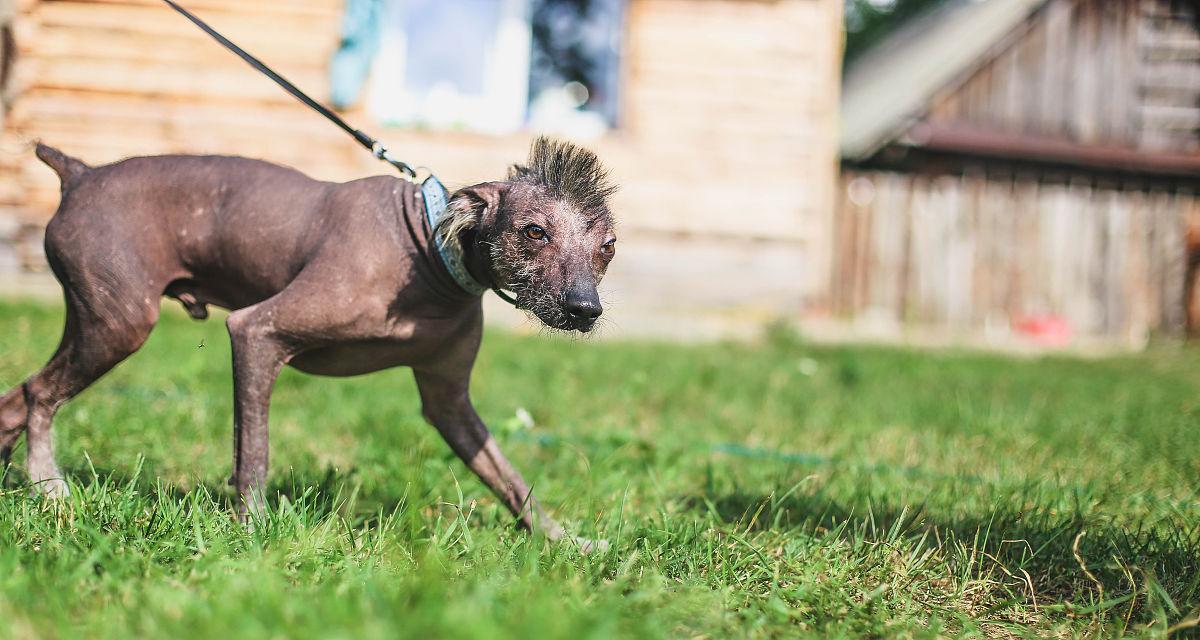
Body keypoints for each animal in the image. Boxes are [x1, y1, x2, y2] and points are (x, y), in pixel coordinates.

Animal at [0, 137, 619, 547]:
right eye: (534, 232)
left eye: (607, 246)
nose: (584, 309)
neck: (427, 254)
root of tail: (82, 174)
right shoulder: (255, 332)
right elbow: (253, 453)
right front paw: (250, 535)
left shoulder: (450, 403)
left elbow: (511, 480)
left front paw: (565, 543)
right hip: (119, 323)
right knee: (37, 394)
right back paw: (49, 486)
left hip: (96, 322)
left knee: (14, 400)